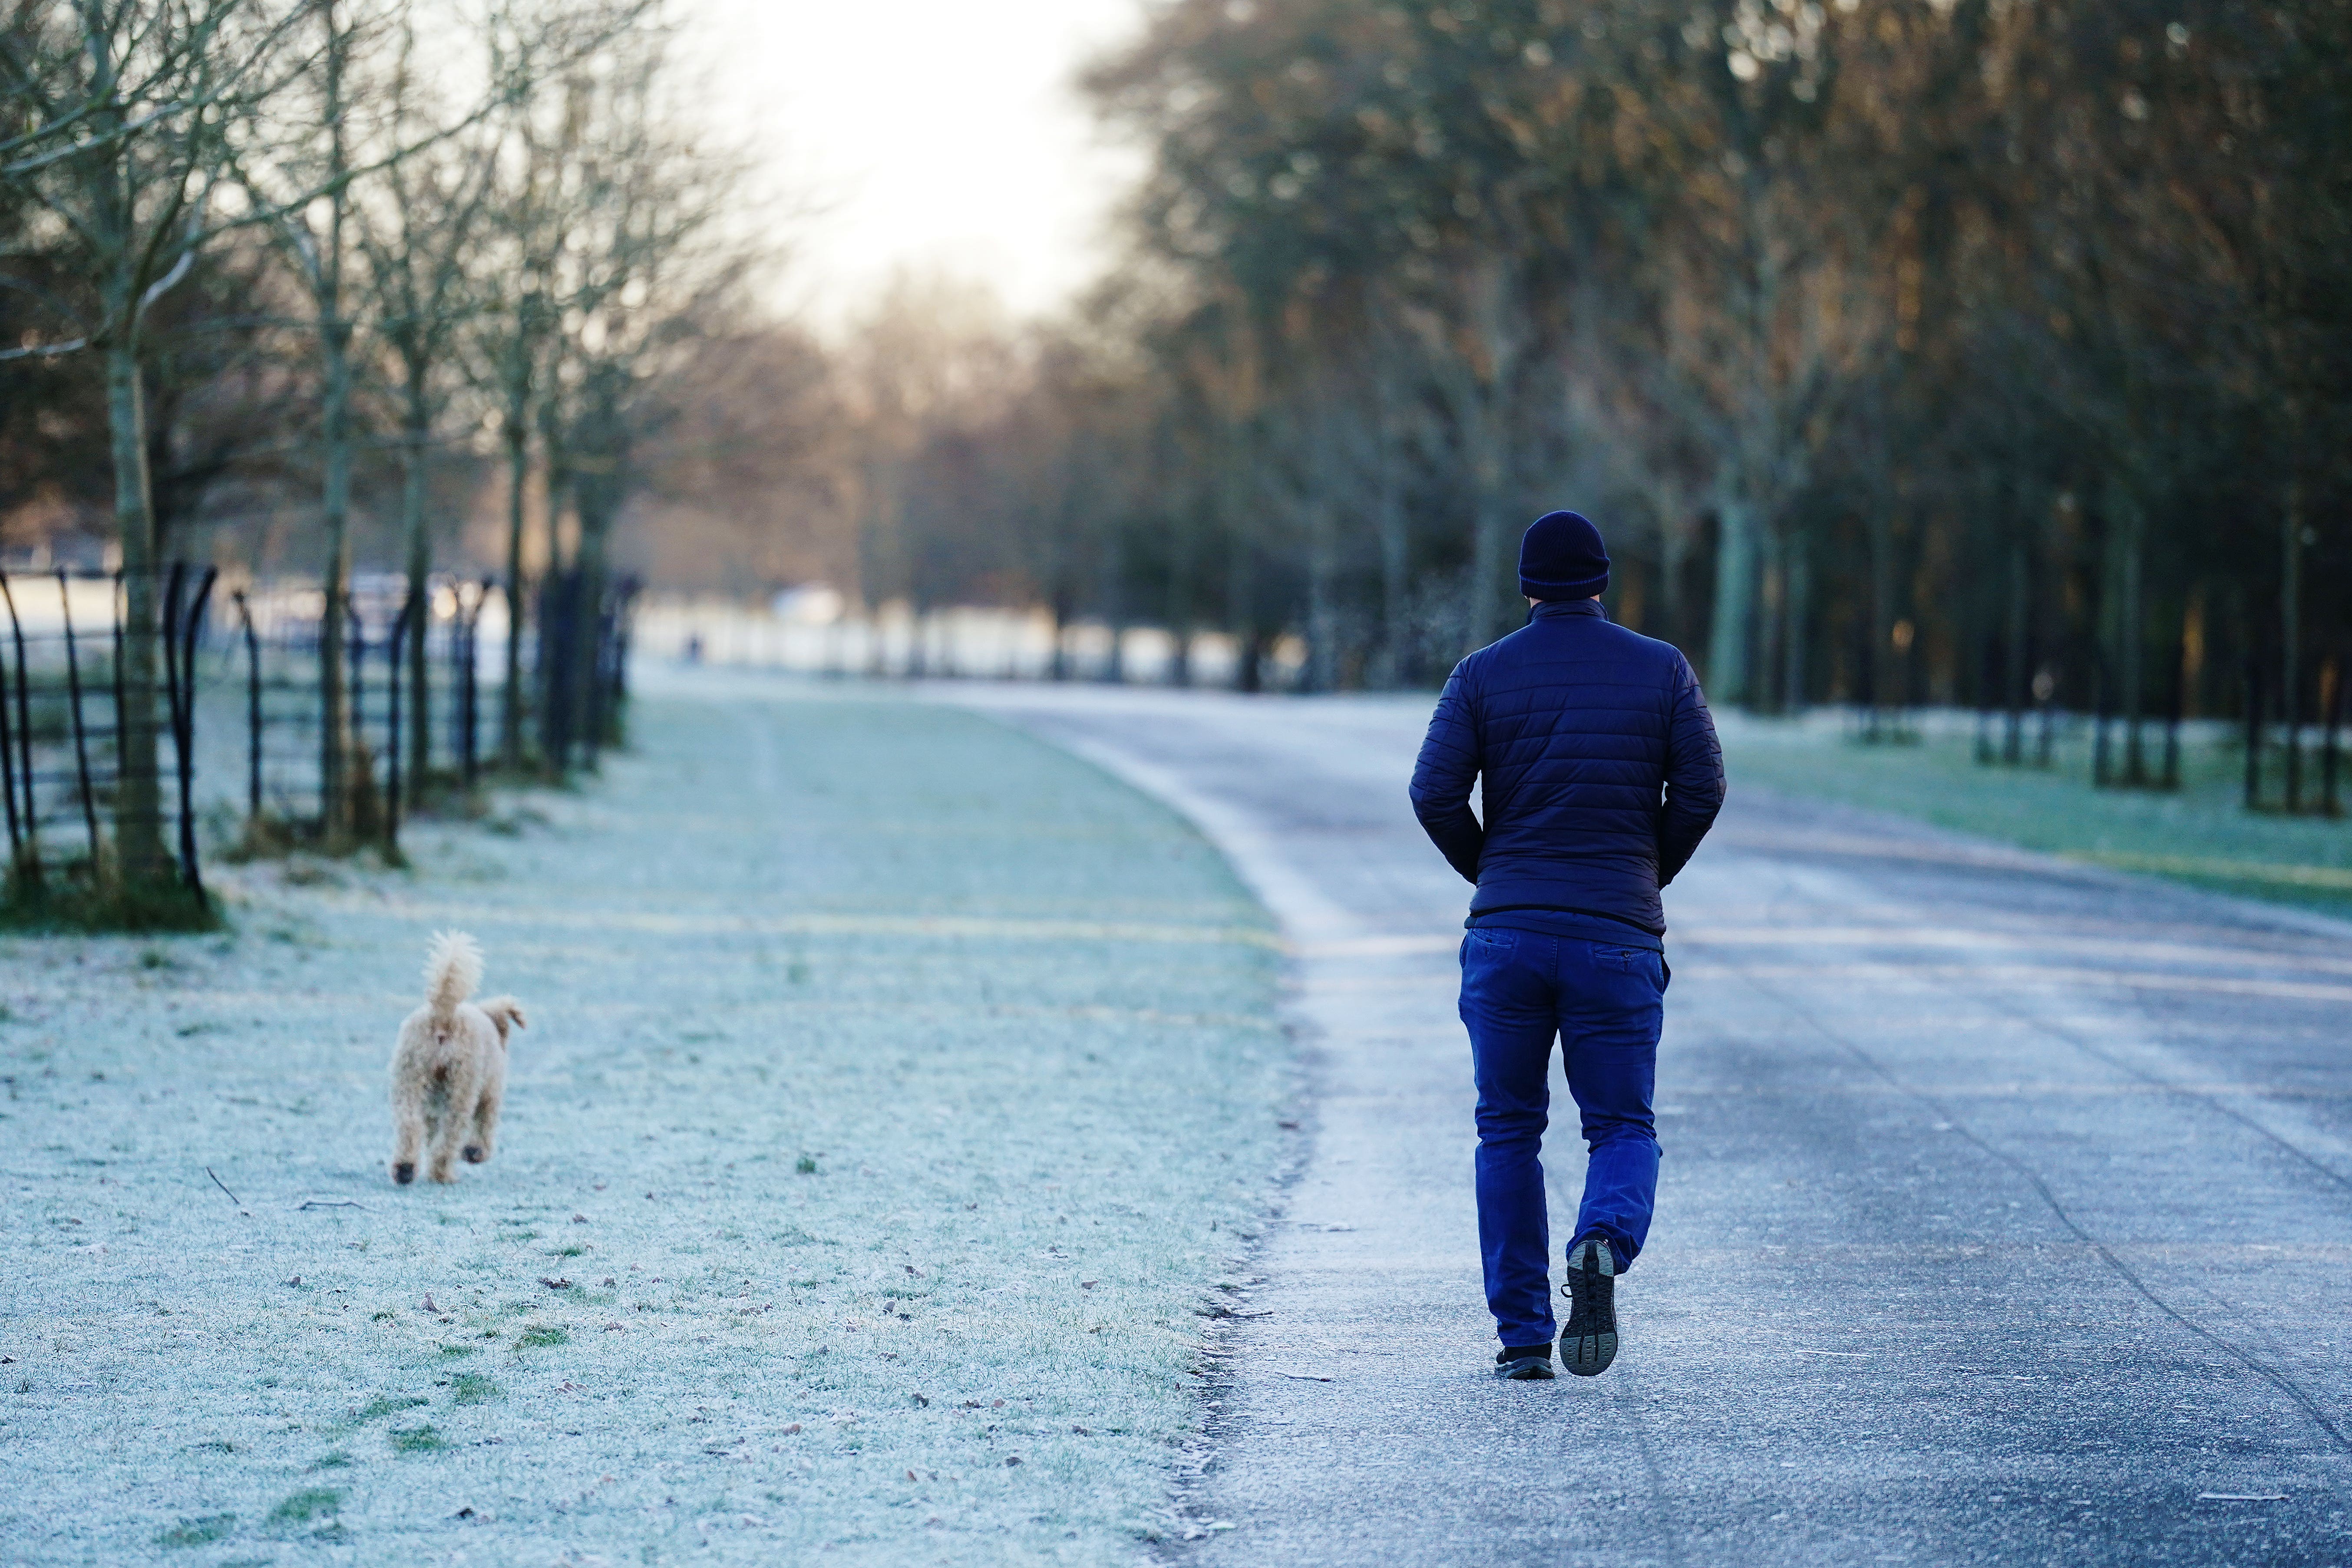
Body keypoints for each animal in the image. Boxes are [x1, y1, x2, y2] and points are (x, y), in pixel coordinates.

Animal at [390, 931, 524, 1189]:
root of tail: (443, 1016)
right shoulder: (490, 1095)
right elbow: (484, 1126)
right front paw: (476, 1152)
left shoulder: (431, 1109)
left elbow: (431, 1133)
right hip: (462, 1088)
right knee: (452, 1133)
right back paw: (443, 1174)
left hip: (409, 1079)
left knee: (410, 1125)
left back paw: (405, 1170)